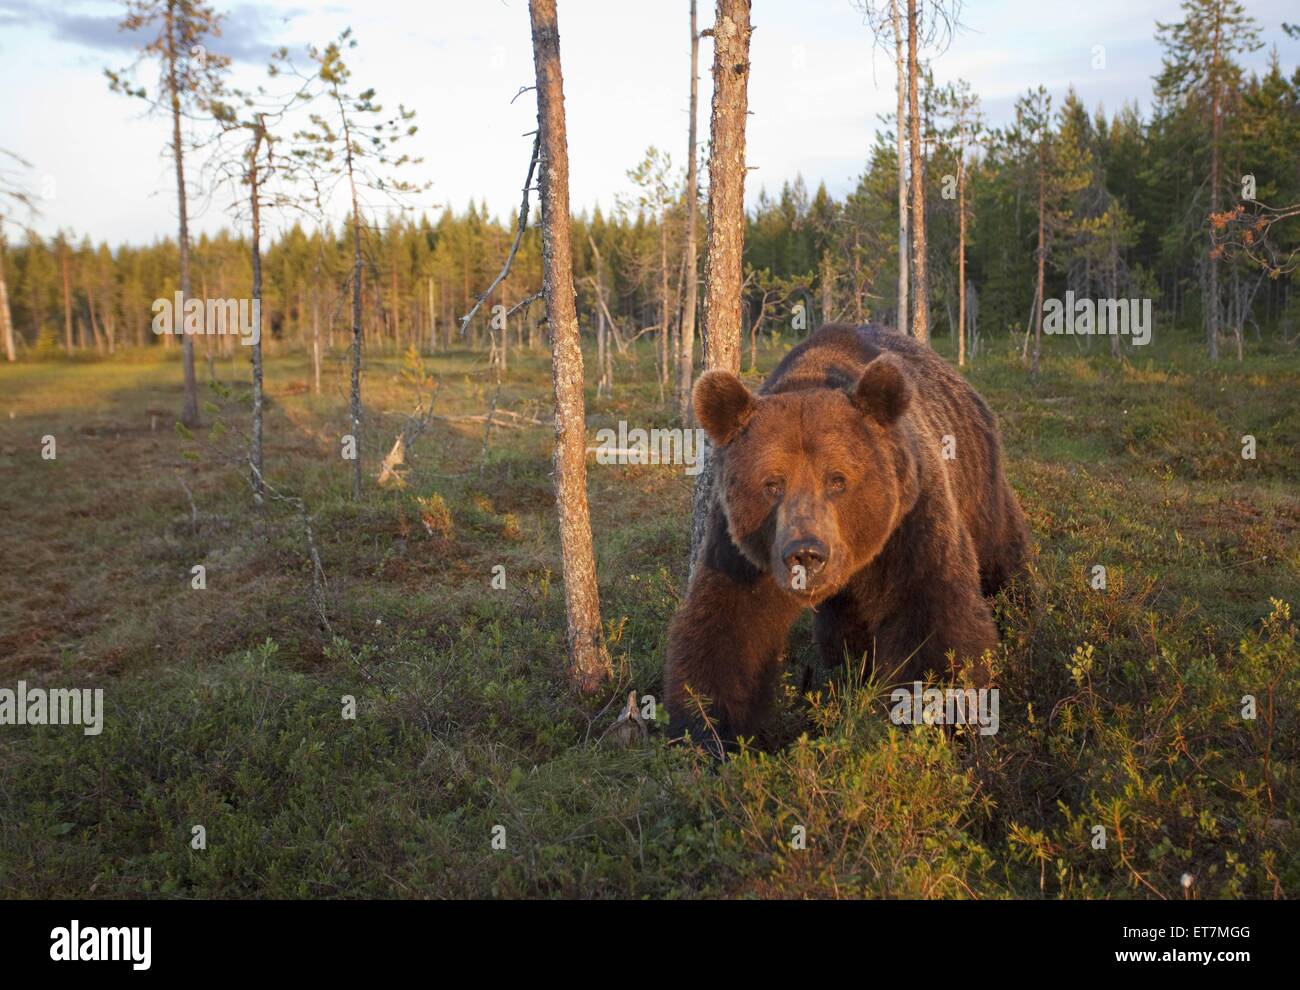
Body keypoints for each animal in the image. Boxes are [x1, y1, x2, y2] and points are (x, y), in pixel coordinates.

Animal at [670, 319, 1024, 743]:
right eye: (772, 484)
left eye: (837, 480)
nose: (806, 553)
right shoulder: (742, 548)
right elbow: (727, 624)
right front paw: (708, 727)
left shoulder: (909, 521)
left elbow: (933, 615)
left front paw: (942, 718)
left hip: (978, 481)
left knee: (1002, 552)